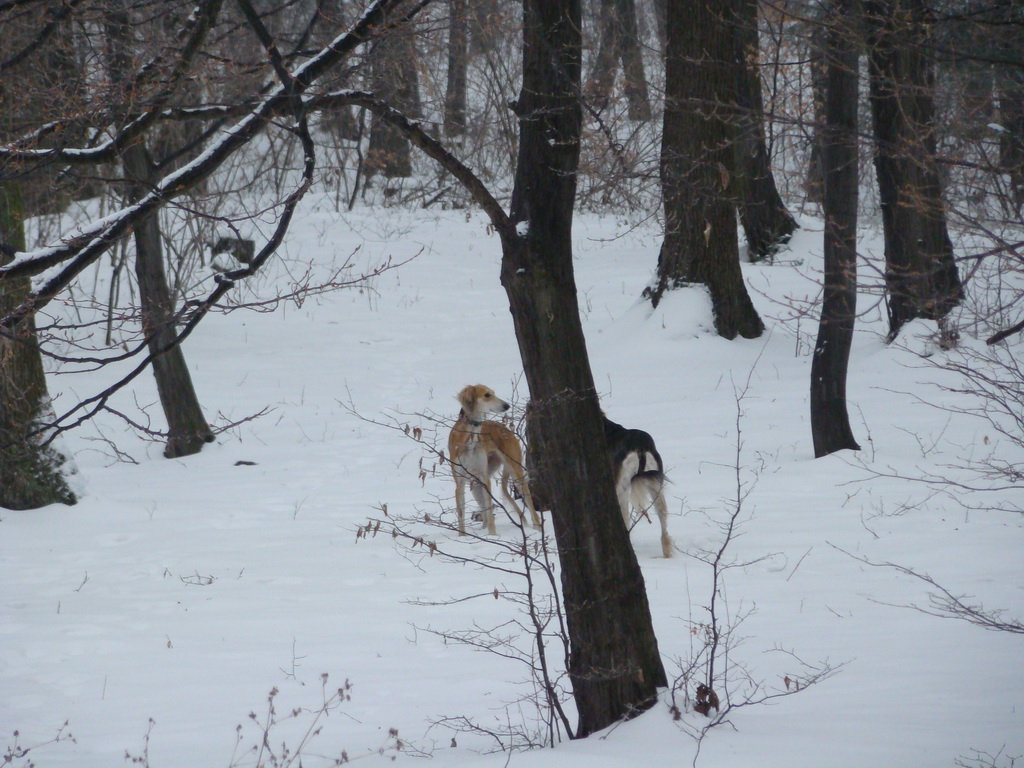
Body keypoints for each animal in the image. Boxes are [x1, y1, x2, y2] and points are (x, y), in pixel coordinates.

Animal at [448, 382, 544, 536]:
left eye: (493, 393)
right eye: (487, 395)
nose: (506, 406)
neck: (470, 438)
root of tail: (505, 428)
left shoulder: (484, 477)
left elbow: (489, 510)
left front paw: (493, 535)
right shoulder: (460, 481)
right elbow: (461, 515)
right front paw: (462, 537)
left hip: (516, 473)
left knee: (532, 508)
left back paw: (537, 530)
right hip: (476, 484)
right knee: (484, 512)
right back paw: (483, 529)